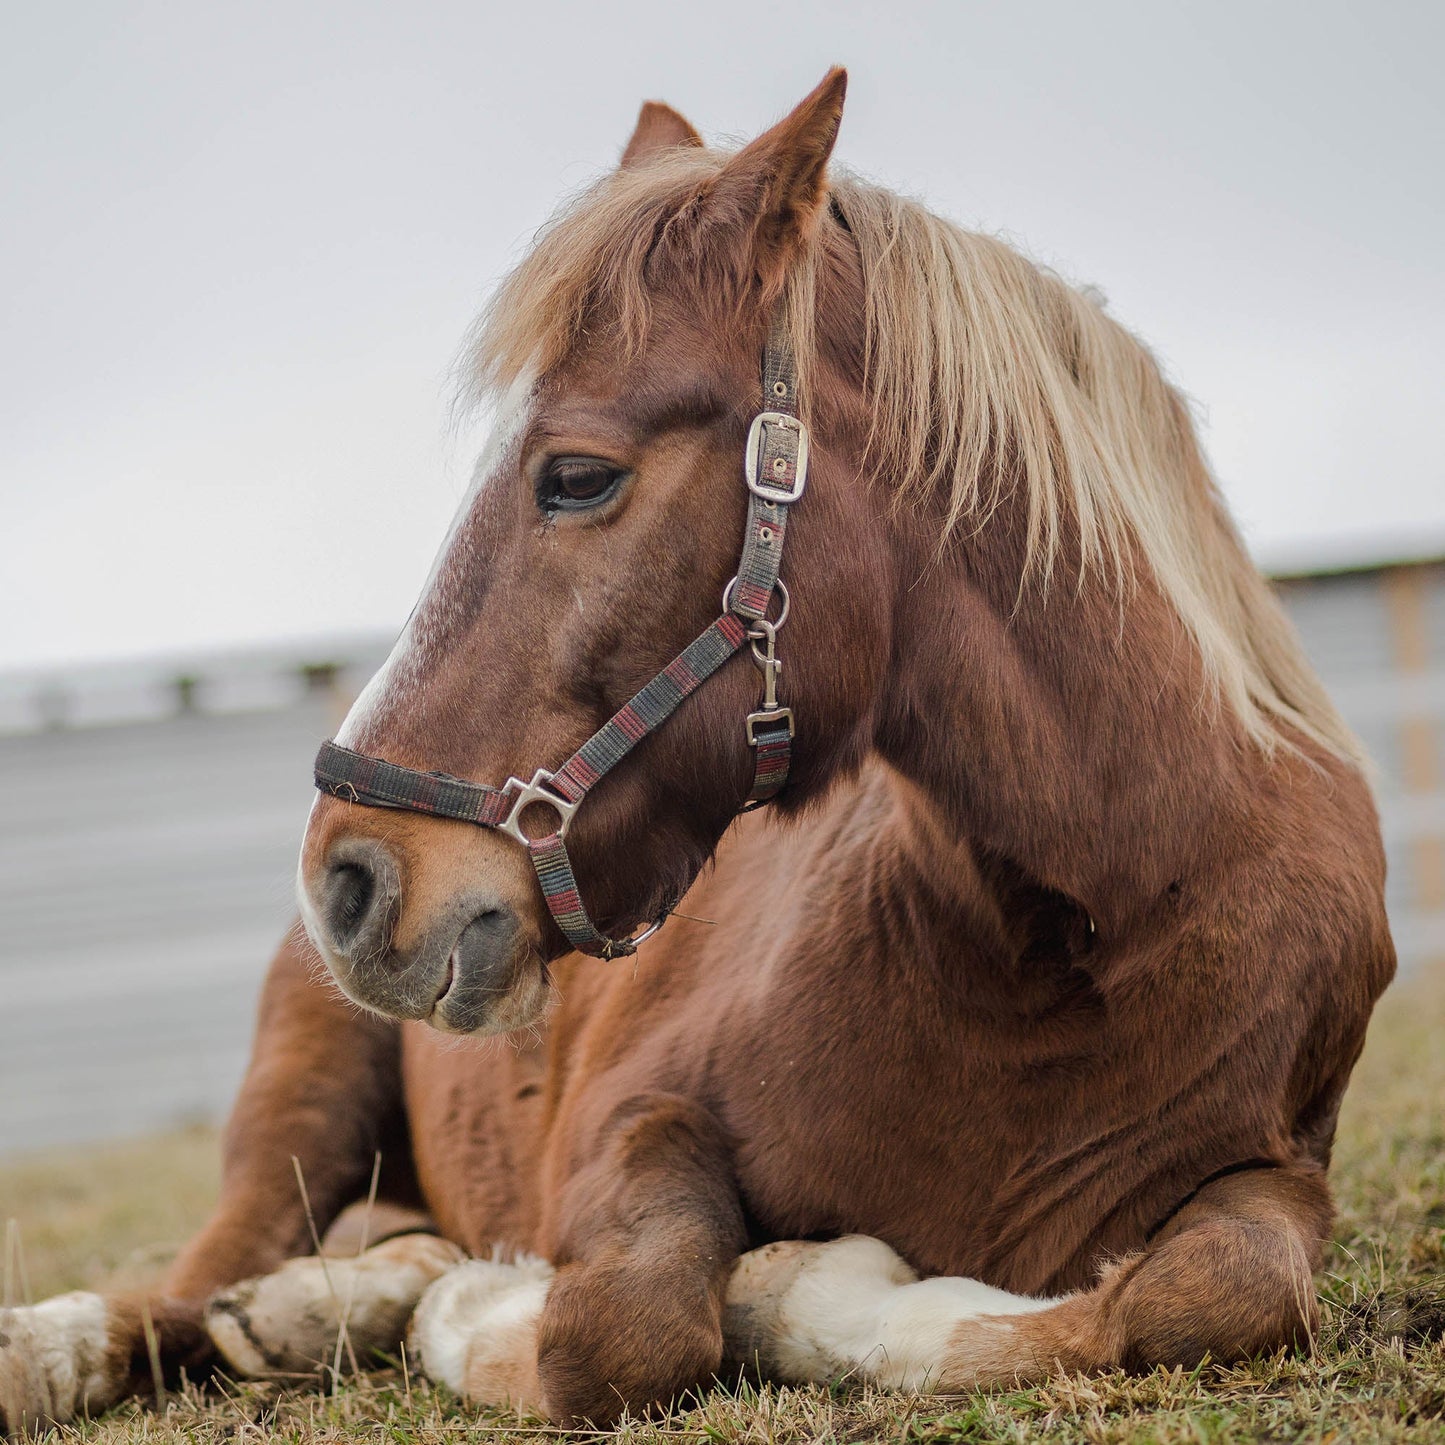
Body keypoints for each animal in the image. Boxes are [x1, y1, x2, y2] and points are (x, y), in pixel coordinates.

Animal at [2, 67, 1398, 1433]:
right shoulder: (626, 1112)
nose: (347, 876)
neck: (1065, 937)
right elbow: (623, 1323)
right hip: (297, 1101)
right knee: (181, 1290)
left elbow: (1215, 1289)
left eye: (574, 475)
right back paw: (83, 1343)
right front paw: (503, 1310)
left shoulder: (1276, 1168)